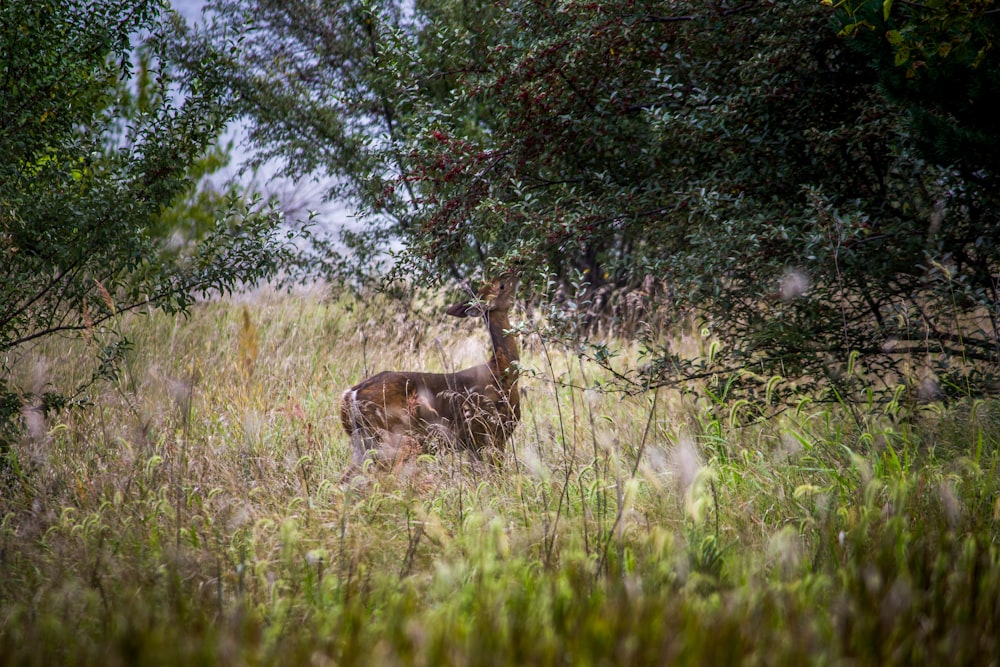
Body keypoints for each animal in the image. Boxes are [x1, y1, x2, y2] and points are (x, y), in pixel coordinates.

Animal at [340, 274, 520, 478]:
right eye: (502, 286)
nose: (517, 269)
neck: (502, 371)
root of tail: (350, 395)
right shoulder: (495, 432)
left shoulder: (475, 443)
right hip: (394, 440)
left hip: (362, 443)